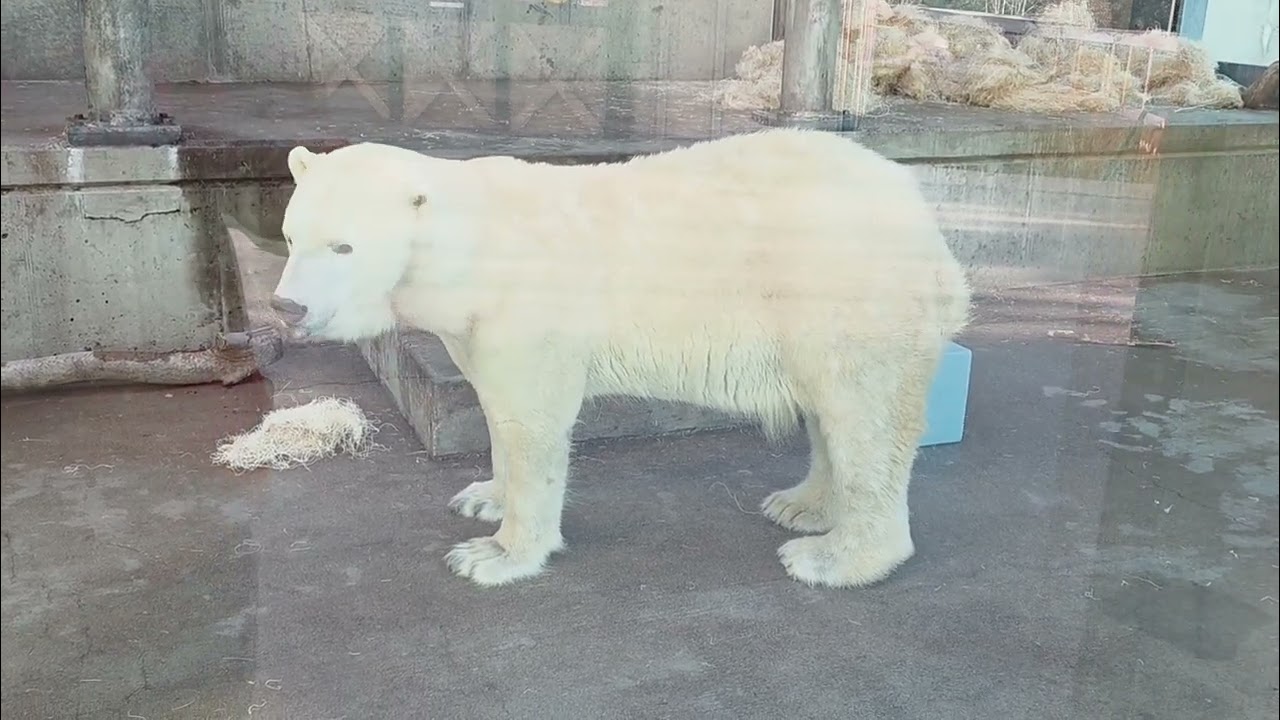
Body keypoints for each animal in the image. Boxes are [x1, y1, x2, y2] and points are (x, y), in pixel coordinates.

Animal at [271, 128, 972, 589]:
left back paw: (832, 558)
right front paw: (482, 496)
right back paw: (801, 505)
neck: (474, 247)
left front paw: (494, 555)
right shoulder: (472, 323)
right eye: (290, 235)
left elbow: (534, 424)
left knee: (864, 415)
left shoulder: (532, 310)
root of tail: (923, 216)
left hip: (842, 284)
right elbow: (496, 411)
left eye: (344, 246)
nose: (286, 307)